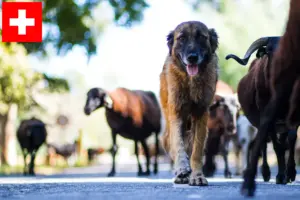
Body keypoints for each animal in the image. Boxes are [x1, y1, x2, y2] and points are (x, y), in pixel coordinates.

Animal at [159, 21, 218, 185]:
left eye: (201, 37)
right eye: (181, 38)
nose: (192, 57)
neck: (191, 81)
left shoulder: (201, 115)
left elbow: (196, 152)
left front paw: (197, 176)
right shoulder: (176, 113)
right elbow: (178, 145)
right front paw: (182, 168)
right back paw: (181, 174)